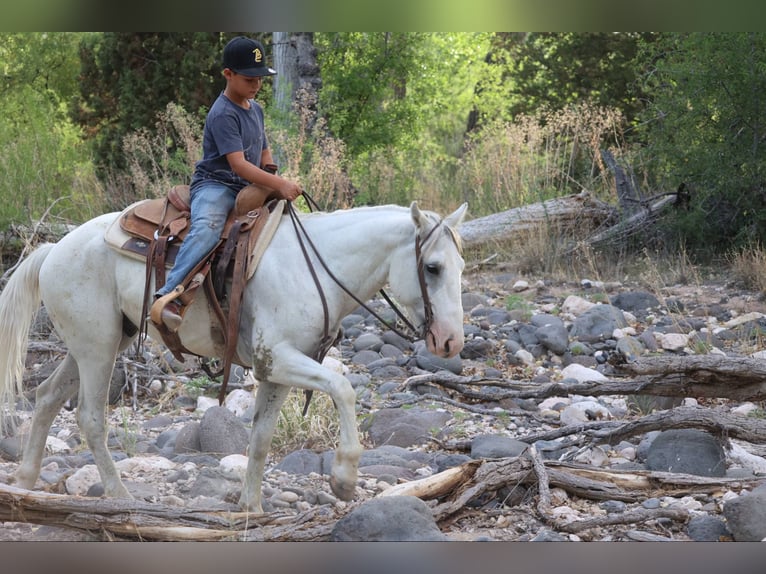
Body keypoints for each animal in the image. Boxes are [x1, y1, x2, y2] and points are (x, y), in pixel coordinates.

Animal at [0, 200, 467, 512]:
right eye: (433, 268)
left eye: (461, 267)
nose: (451, 343)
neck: (313, 267)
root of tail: (55, 248)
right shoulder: (278, 357)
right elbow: (343, 388)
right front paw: (344, 479)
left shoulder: (274, 372)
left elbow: (260, 438)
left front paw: (251, 507)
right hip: (97, 346)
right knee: (90, 417)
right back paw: (119, 495)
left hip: (99, 342)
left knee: (46, 396)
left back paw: (24, 479)